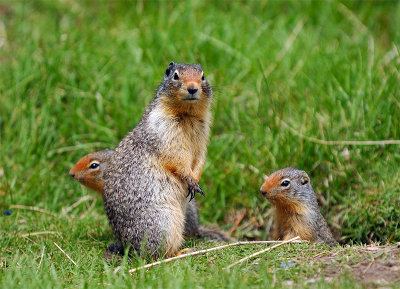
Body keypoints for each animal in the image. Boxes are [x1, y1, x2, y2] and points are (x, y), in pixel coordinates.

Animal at [104, 61, 214, 256]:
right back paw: (181, 251)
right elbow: (178, 158)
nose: (192, 88)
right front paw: (191, 180)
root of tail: (130, 246)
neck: (188, 115)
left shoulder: (202, 137)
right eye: (175, 75)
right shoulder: (166, 133)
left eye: (202, 76)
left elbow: (200, 158)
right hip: (165, 223)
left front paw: (196, 180)